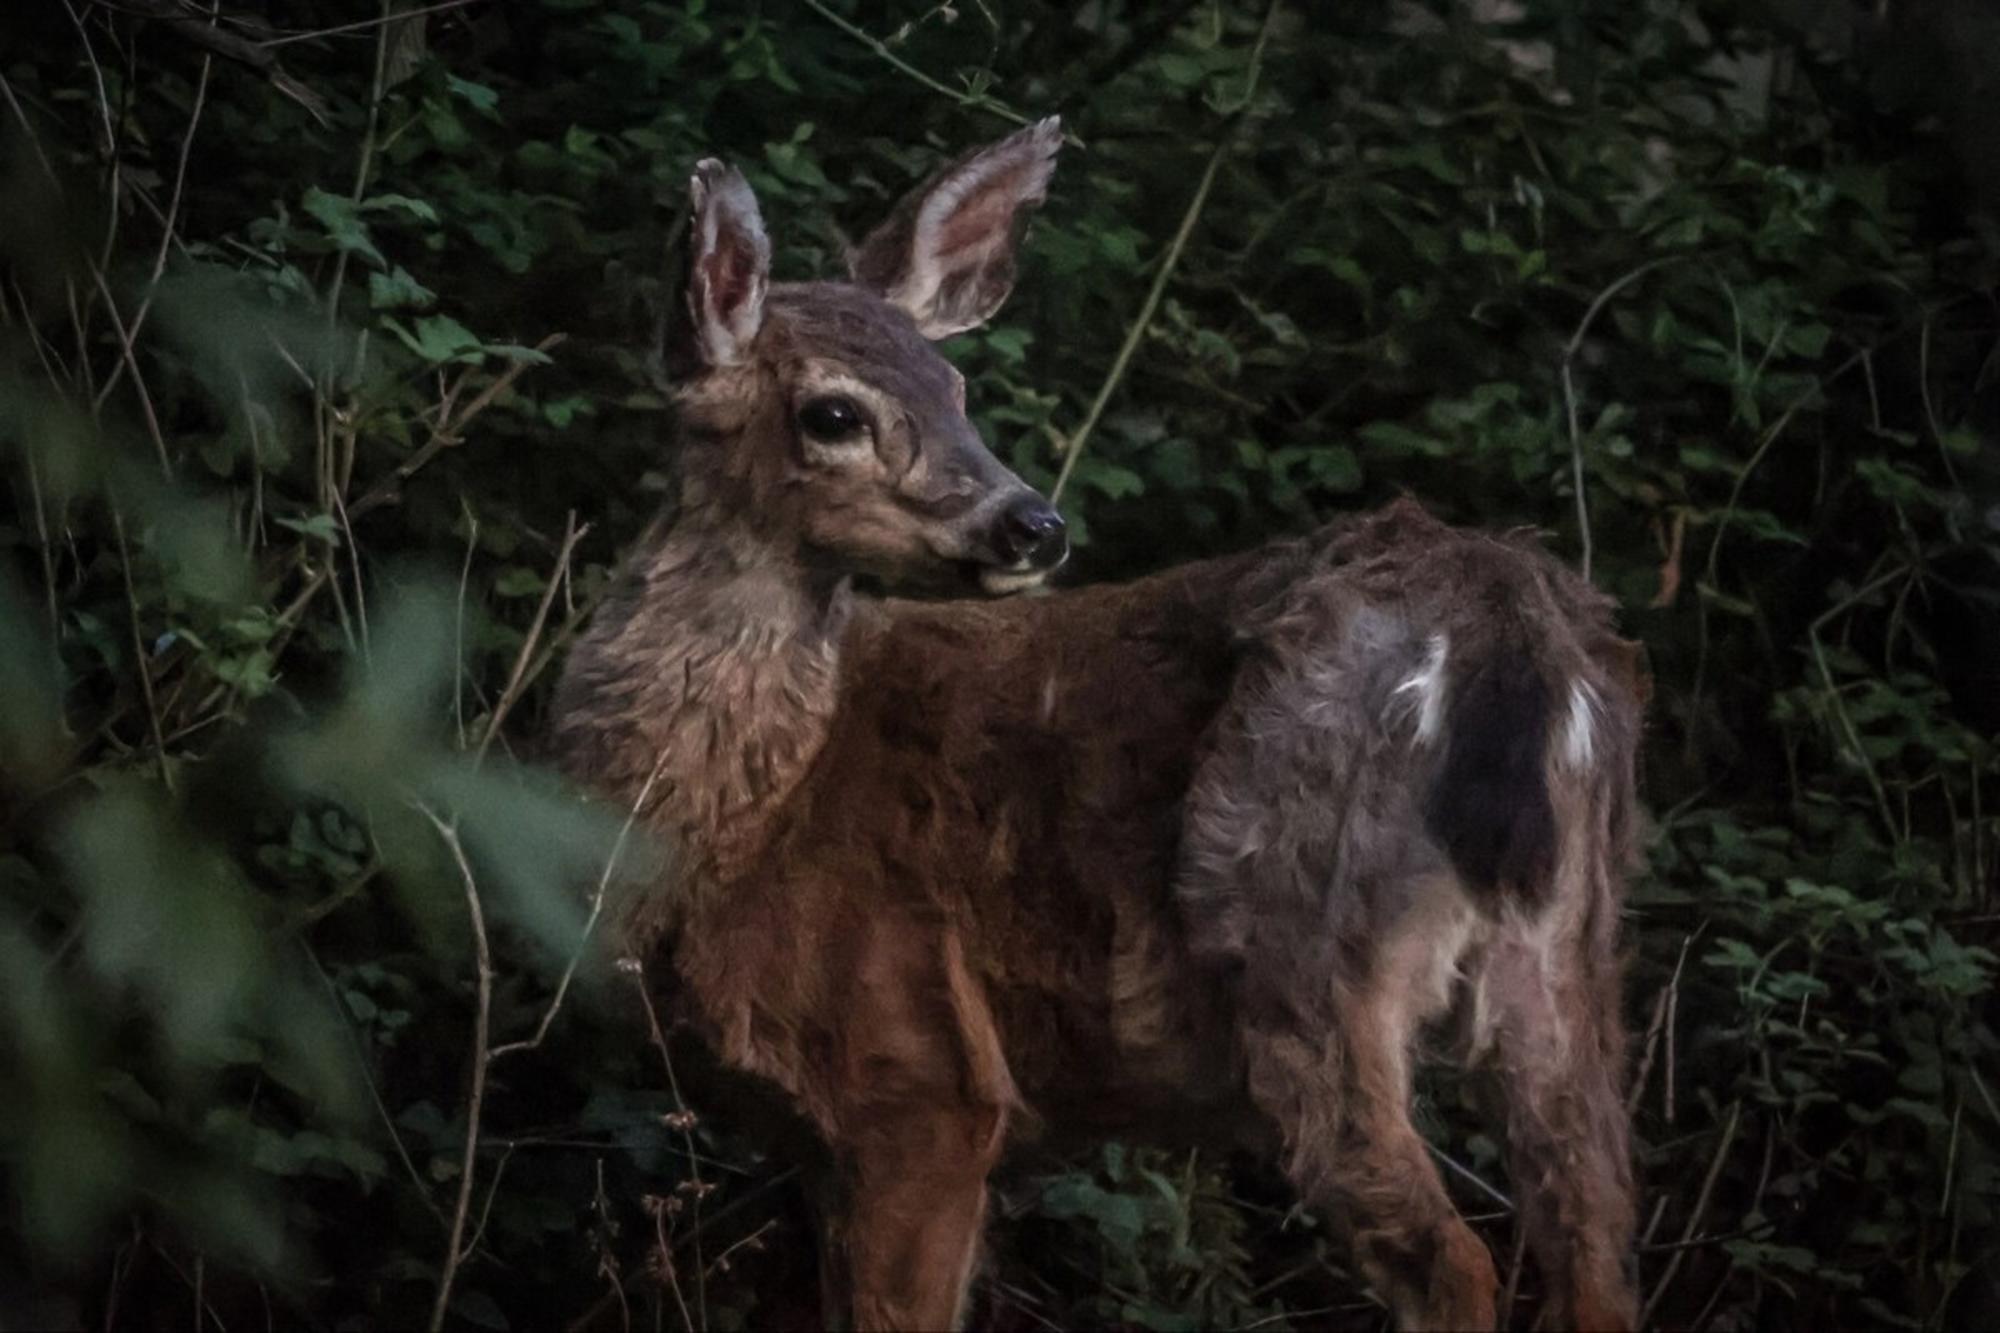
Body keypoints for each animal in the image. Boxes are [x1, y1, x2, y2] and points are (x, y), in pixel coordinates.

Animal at [552, 116, 1640, 1328]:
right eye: (833, 412)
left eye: (956, 386)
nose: (1035, 523)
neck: (743, 823)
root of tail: (1508, 613)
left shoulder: (919, 1083)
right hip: (1569, 958)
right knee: (1595, 1241)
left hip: (1304, 939)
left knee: (1452, 1256)